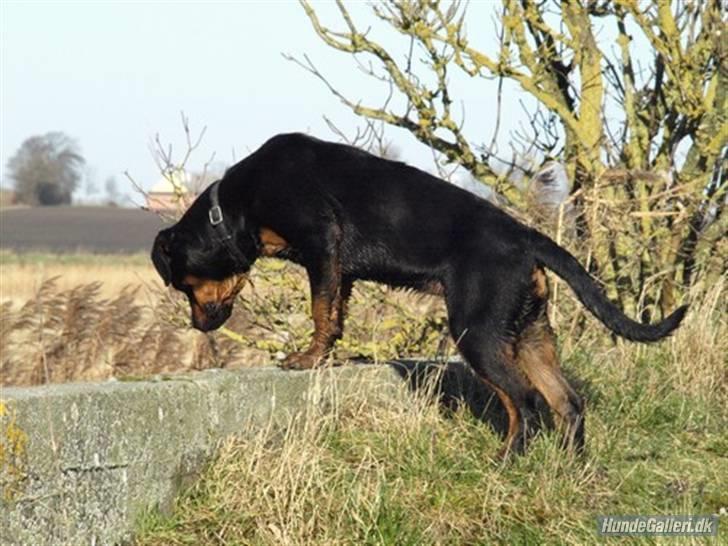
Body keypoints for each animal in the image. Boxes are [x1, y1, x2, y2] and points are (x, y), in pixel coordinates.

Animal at [151, 133, 684, 454]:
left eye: (182, 283)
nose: (197, 325)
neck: (235, 207)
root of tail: (527, 238)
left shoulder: (320, 242)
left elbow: (320, 312)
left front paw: (306, 359)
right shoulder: (338, 269)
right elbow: (335, 312)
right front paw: (325, 356)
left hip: (478, 332)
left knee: (524, 401)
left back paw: (507, 462)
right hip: (530, 332)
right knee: (568, 403)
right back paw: (569, 469)